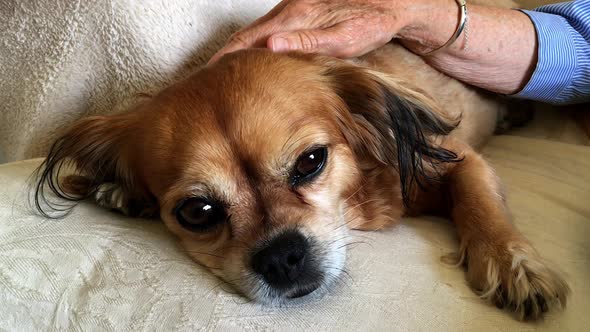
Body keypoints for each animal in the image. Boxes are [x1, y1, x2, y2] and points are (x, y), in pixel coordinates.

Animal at [32, 0, 568, 322]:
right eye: (198, 212)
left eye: (312, 161)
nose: (281, 257)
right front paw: (120, 190)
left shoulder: (453, 158)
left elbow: (477, 198)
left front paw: (510, 263)